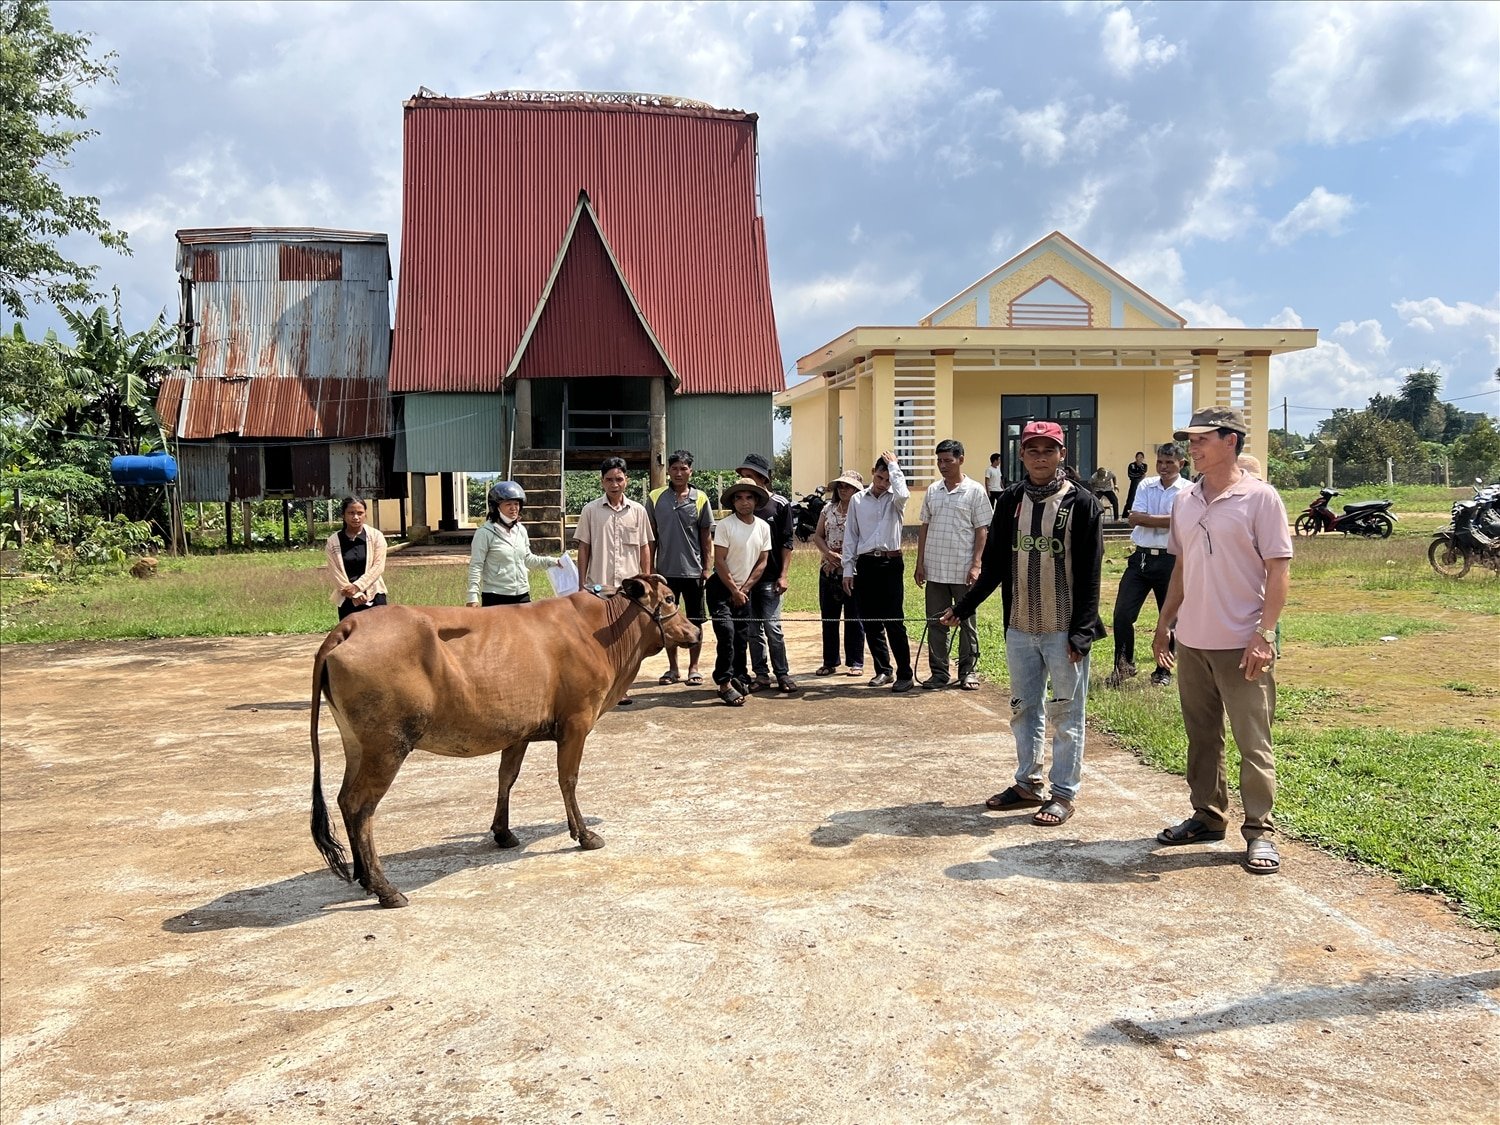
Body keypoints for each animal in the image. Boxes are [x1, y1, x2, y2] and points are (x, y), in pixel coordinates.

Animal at [309, 576, 702, 912]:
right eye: (670, 599)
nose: (696, 630)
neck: (601, 632)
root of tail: (350, 626)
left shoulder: (519, 731)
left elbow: (506, 777)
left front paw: (503, 832)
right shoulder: (576, 721)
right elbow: (568, 779)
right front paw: (584, 834)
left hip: (357, 743)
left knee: (344, 799)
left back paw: (363, 877)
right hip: (387, 745)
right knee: (361, 806)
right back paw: (384, 888)